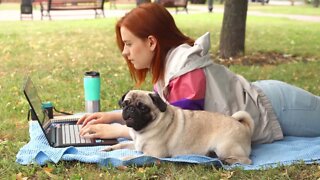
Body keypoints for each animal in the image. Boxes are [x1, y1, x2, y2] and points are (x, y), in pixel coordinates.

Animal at [104, 90, 255, 165]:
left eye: (142, 108)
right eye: (125, 104)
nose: (130, 109)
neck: (141, 131)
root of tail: (243, 126)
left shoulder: (155, 153)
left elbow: (134, 157)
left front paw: (124, 158)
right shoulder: (136, 144)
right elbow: (121, 145)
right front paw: (109, 148)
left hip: (224, 147)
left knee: (247, 161)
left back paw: (227, 161)